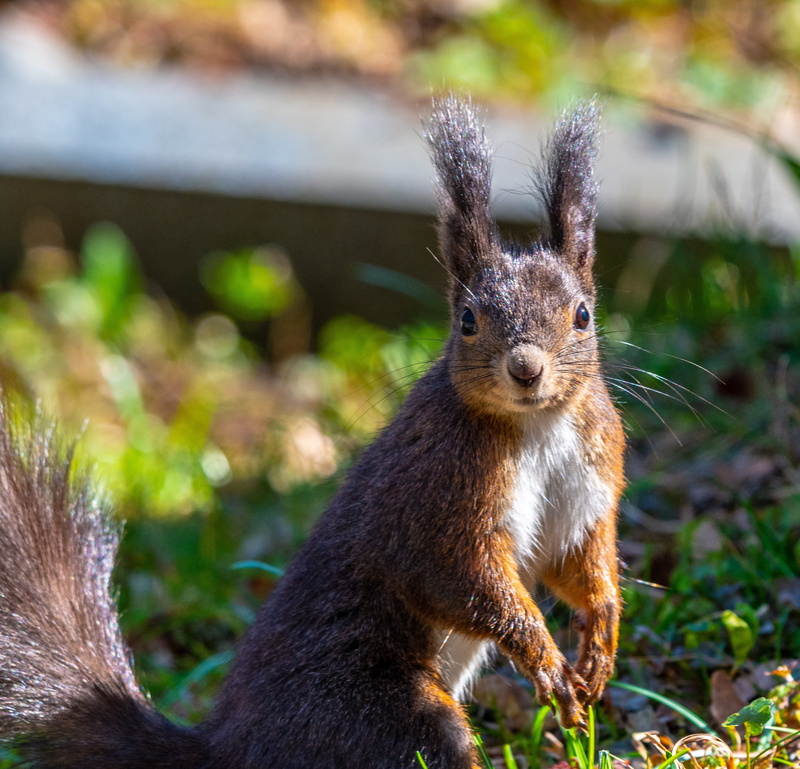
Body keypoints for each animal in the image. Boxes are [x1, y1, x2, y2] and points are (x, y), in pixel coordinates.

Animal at [0, 95, 624, 769]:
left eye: (583, 315)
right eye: (468, 320)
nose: (526, 369)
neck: (536, 423)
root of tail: (227, 750)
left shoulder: (589, 477)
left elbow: (576, 561)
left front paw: (600, 640)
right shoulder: (436, 492)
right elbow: (459, 576)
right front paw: (546, 658)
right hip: (387, 718)